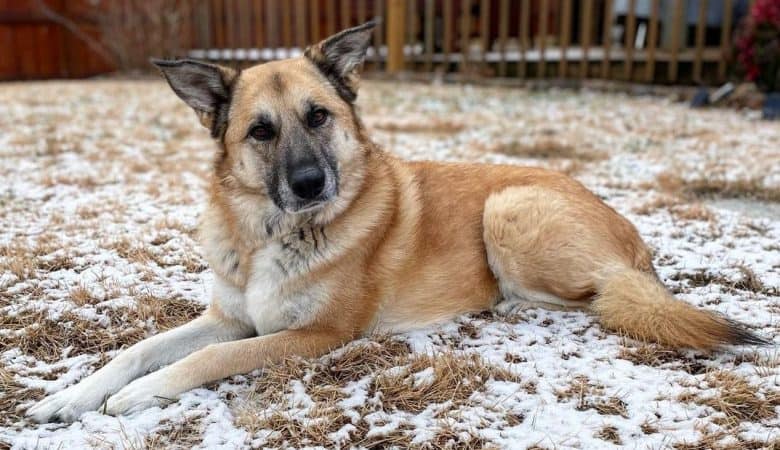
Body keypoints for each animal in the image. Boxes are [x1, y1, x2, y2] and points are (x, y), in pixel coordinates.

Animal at [25, 19, 768, 424]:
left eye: (318, 116)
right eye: (260, 131)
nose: (310, 184)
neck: (272, 234)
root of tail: (632, 240)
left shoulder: (314, 335)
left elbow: (206, 358)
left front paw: (138, 396)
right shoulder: (230, 315)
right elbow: (137, 349)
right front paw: (71, 398)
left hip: (507, 208)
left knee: (594, 297)